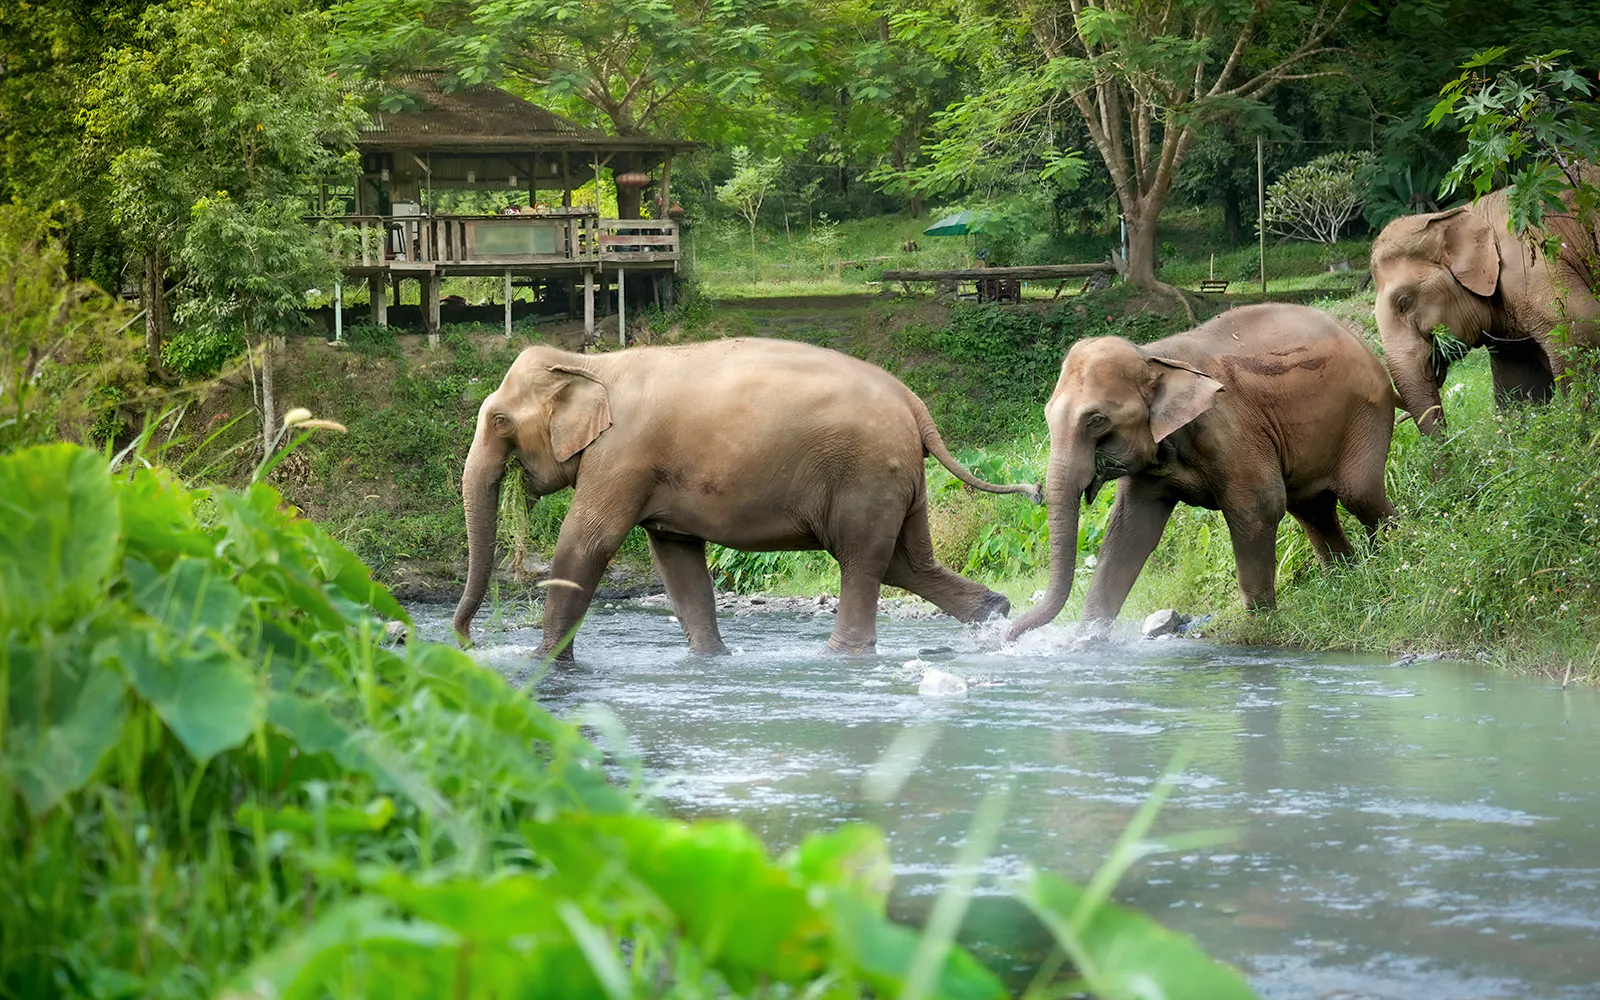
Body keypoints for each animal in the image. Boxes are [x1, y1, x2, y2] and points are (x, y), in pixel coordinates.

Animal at [453, 338, 1040, 659]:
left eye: (500, 421)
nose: (467, 642)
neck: (590, 363)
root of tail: (914, 403)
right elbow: (676, 558)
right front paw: (712, 659)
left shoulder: (623, 455)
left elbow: (588, 542)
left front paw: (542, 663)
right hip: (898, 477)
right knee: (907, 561)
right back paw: (994, 615)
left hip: (866, 473)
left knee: (861, 560)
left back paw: (838, 656)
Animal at [1006, 304, 1397, 641]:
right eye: (1047, 415)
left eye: (1096, 420)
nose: (1006, 635)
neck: (1154, 357)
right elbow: (1131, 530)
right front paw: (1085, 642)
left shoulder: (1229, 427)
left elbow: (1258, 507)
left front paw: (1260, 625)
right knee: (1312, 510)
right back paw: (1344, 578)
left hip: (1366, 414)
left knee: (1358, 495)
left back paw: (1392, 557)